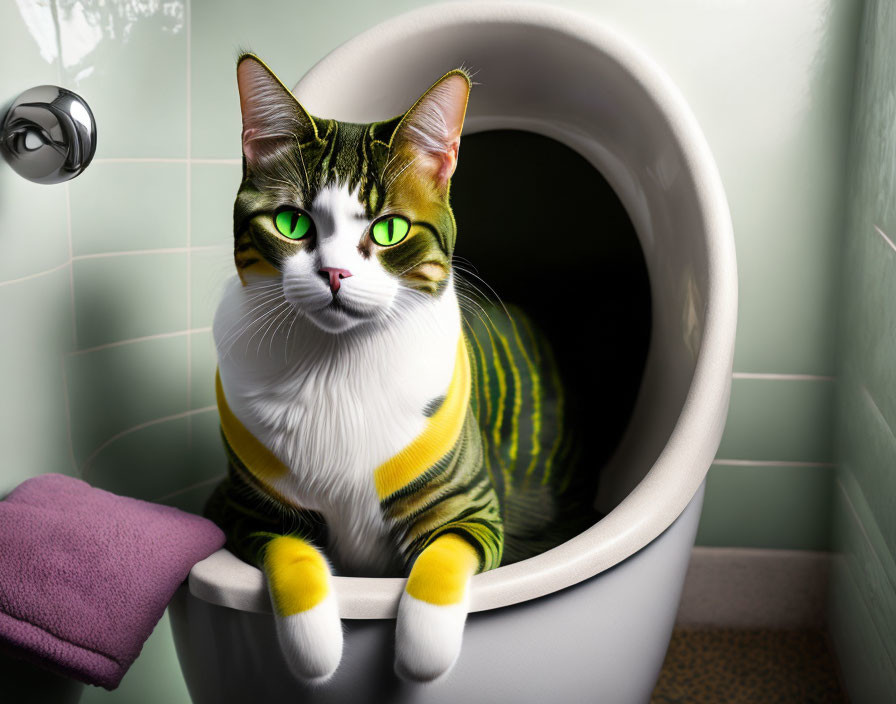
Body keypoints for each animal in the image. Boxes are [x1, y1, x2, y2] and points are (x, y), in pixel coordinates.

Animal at [205, 53, 596, 680]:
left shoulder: (471, 509)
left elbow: (442, 560)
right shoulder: (242, 510)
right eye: (292, 223)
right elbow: (292, 553)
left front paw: (422, 653)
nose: (334, 273)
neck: (337, 369)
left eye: (389, 228)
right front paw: (316, 646)